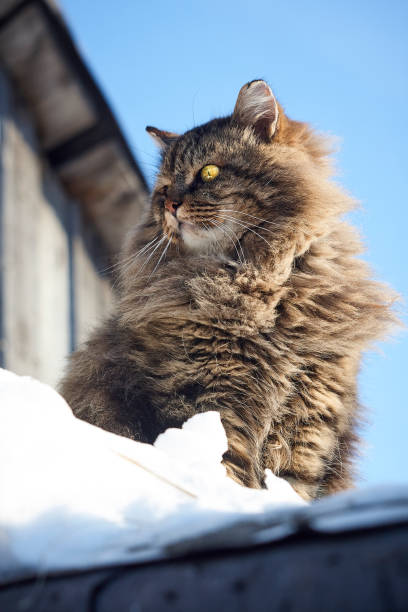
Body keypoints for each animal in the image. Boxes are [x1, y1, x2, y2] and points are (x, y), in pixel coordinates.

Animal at [58, 79, 398, 500]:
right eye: (163, 189)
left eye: (209, 171)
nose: (171, 205)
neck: (256, 280)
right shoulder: (211, 397)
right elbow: (228, 471)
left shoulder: (310, 416)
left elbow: (292, 488)